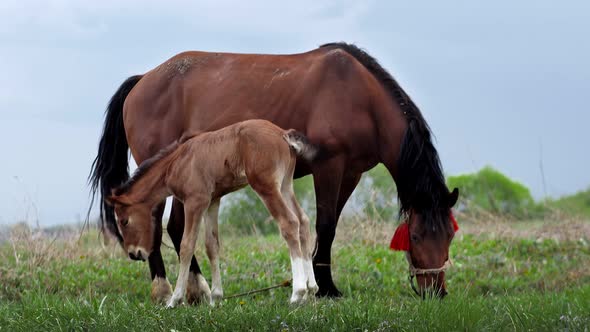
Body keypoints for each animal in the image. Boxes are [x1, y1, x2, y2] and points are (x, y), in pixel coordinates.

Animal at [106, 118, 320, 306]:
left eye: (124, 221)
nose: (134, 254)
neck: (176, 162)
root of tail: (283, 133)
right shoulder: (213, 201)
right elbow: (212, 245)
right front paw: (216, 298)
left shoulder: (195, 201)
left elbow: (186, 245)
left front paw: (175, 300)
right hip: (285, 186)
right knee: (303, 221)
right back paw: (312, 288)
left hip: (266, 186)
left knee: (289, 222)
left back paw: (298, 292)